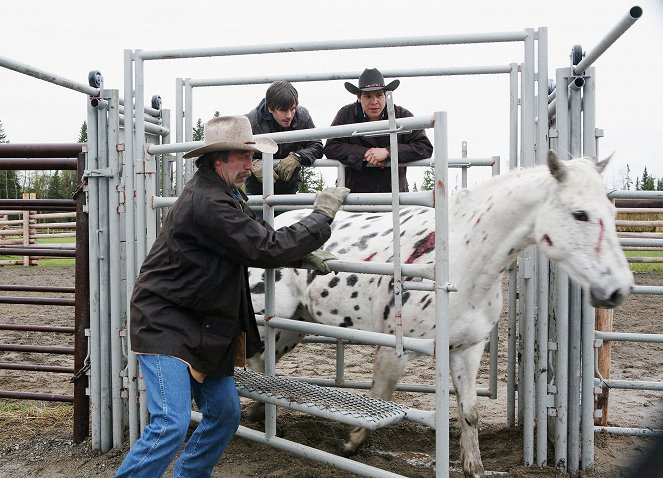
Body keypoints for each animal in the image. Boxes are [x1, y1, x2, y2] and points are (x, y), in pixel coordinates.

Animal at [248, 153, 632, 478]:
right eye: (580, 214)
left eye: (612, 214)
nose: (618, 289)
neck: (461, 262)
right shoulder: (395, 350)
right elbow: (381, 395)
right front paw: (351, 444)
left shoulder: (467, 349)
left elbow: (470, 411)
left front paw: (474, 467)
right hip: (270, 319)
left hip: (291, 327)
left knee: (261, 361)